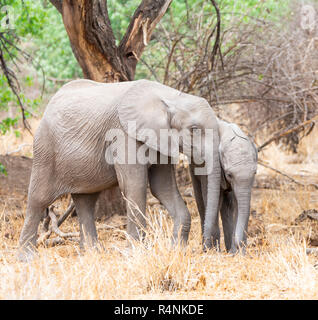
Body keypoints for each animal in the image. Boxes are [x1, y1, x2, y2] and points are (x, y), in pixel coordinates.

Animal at [17, 79, 221, 262]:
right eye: (194, 129)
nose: (205, 248)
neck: (170, 97)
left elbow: (162, 188)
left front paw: (177, 250)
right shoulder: (124, 134)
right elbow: (135, 186)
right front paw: (136, 253)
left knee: (86, 201)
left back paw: (92, 253)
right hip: (45, 149)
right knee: (39, 198)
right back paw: (27, 258)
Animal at [190, 119, 258, 254]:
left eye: (255, 173)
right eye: (229, 174)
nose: (240, 244)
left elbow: (238, 204)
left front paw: (237, 253)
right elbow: (215, 200)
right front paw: (215, 251)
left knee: (228, 204)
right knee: (202, 201)